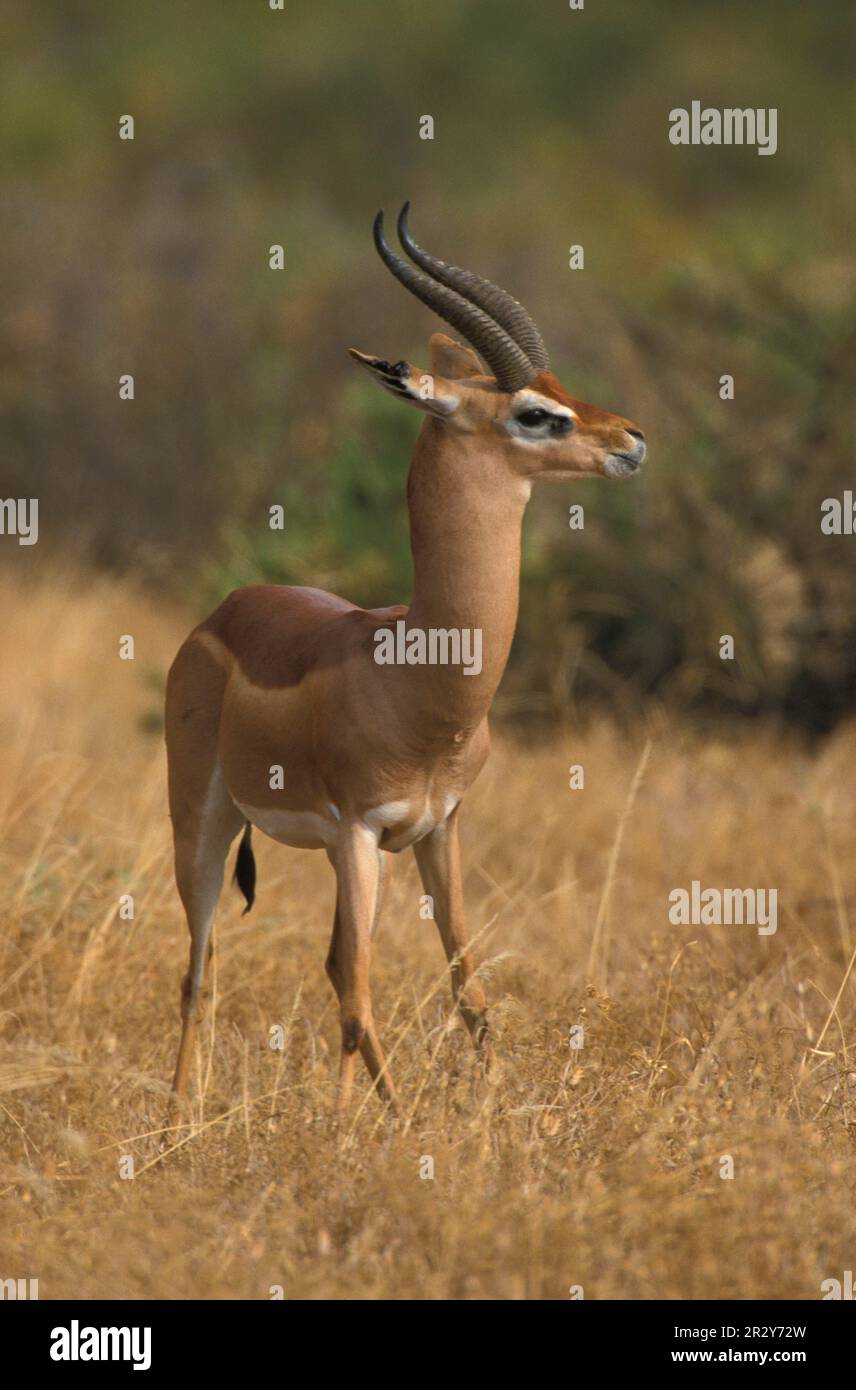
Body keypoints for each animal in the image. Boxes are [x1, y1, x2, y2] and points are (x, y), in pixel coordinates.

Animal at [163, 202, 644, 1117]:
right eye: (535, 412)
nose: (632, 440)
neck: (419, 676)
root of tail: (226, 608)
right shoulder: (360, 831)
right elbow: (359, 995)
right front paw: (370, 1129)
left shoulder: (439, 827)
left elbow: (468, 987)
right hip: (205, 817)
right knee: (201, 973)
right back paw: (176, 1131)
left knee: (311, 967)